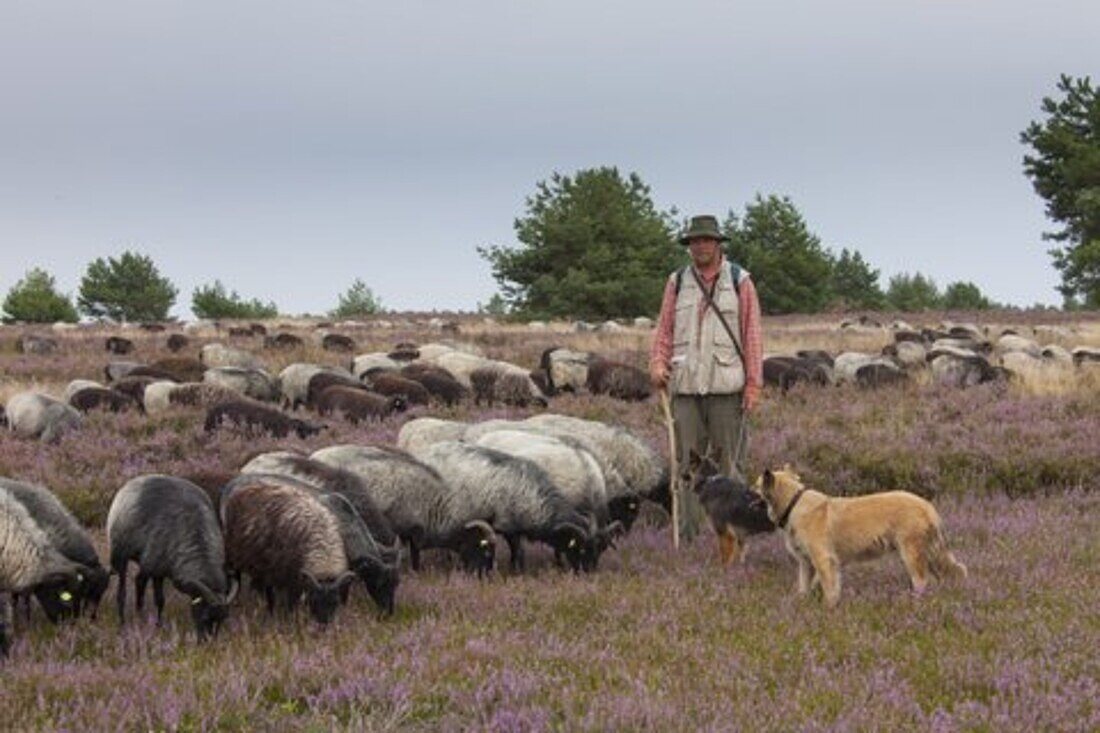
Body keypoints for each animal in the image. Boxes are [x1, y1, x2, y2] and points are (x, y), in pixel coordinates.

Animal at [107, 473, 234, 633]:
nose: (207, 640)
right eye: (205, 617)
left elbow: (160, 600)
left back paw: (139, 614)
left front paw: (157, 625)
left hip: (145, 561)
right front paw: (158, 626)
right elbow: (159, 599)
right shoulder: (157, 571)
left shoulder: (156, 567)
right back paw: (123, 622)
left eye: (222, 621)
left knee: (139, 580)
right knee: (123, 591)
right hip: (122, 555)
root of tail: (137, 479)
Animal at [752, 468, 968, 603]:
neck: (793, 502)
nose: (745, 491)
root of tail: (927, 506)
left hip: (911, 554)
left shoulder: (824, 560)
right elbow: (804, 587)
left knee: (921, 581)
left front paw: (829, 609)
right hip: (927, 555)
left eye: (755, 486)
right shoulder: (807, 564)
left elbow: (830, 589)